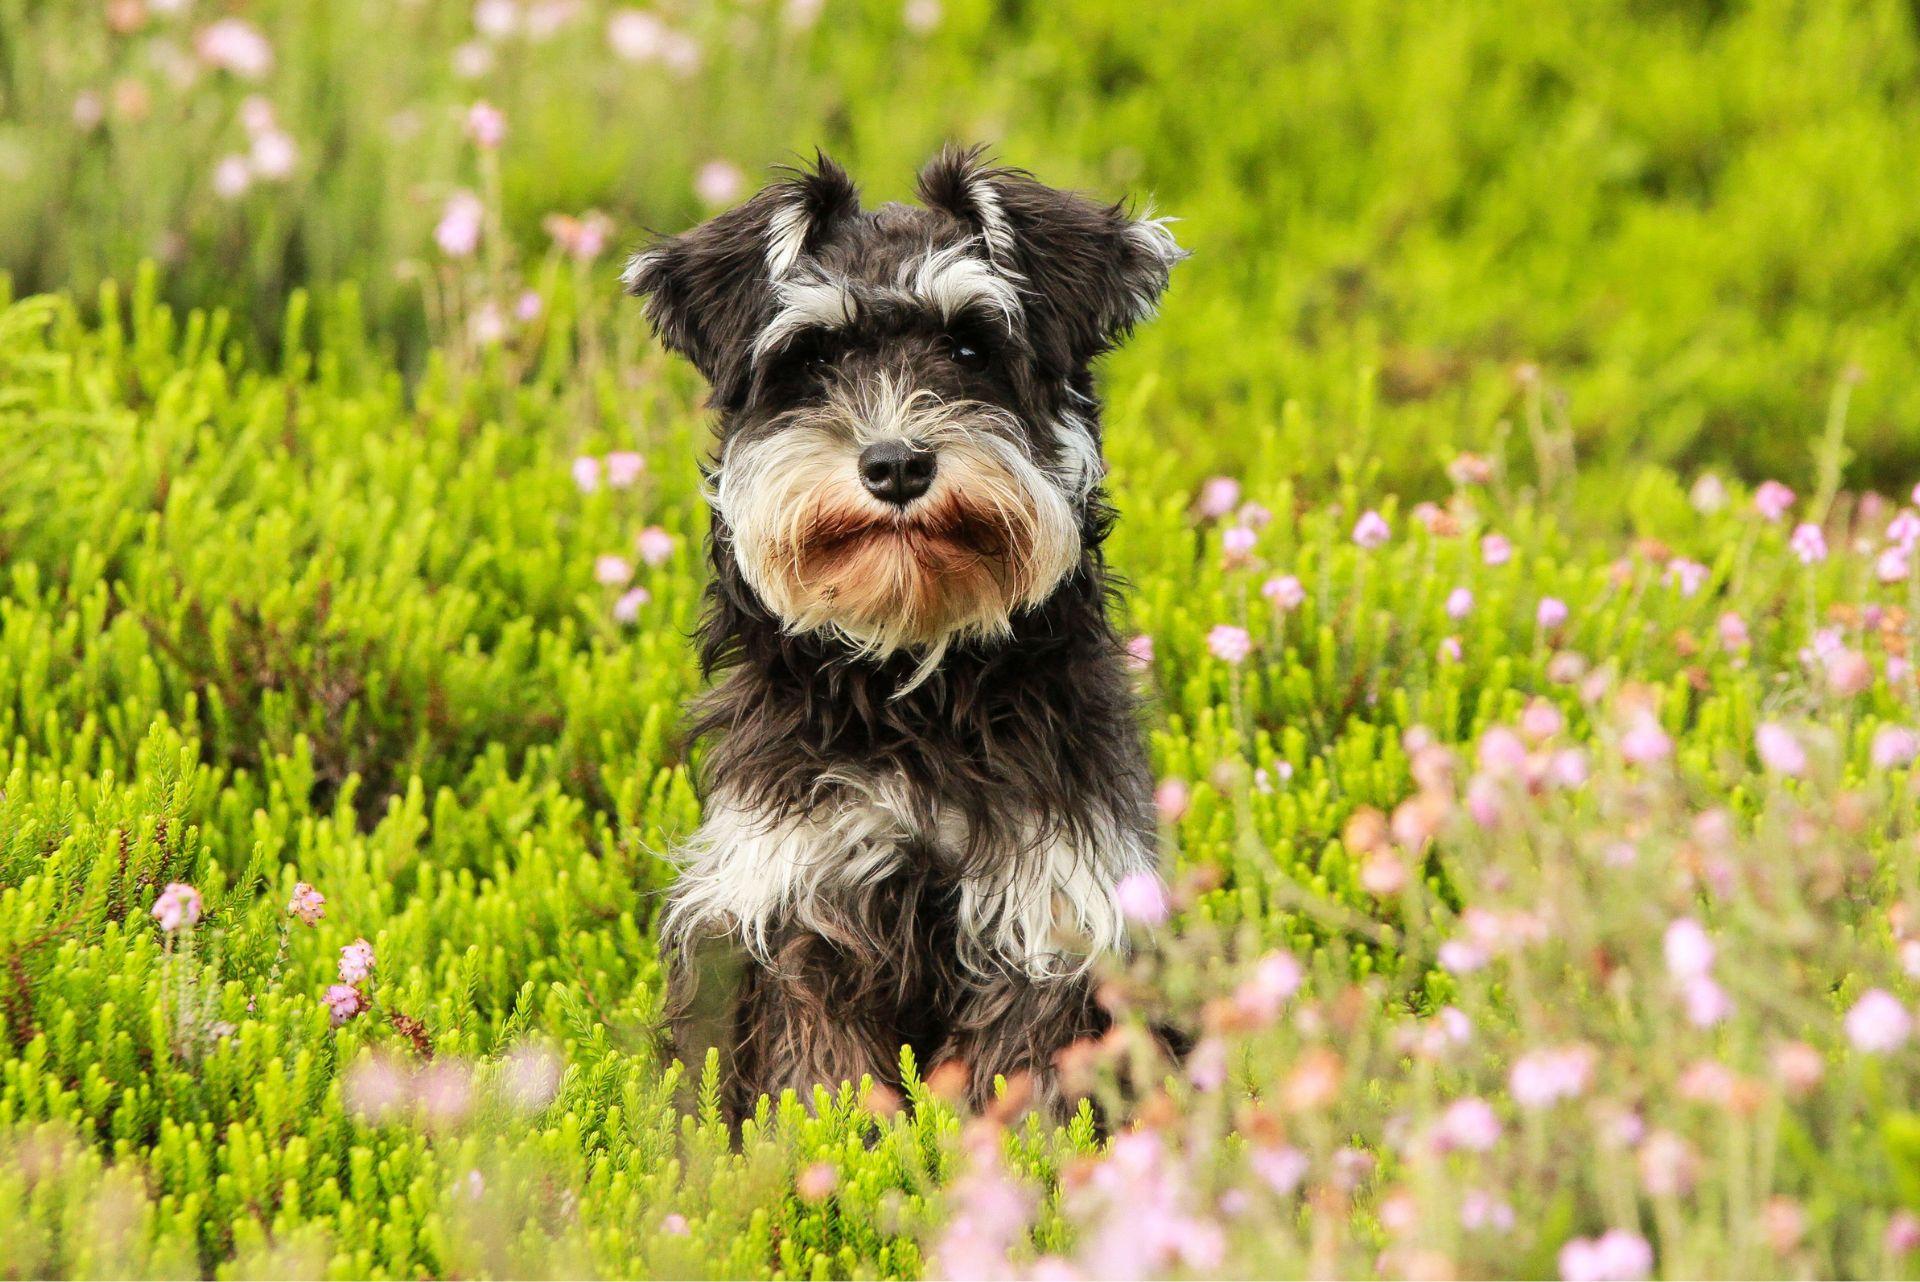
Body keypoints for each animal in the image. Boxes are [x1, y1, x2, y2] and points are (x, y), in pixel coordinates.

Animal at [629, 144, 1175, 1113]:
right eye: (811, 357)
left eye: (970, 345)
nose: (894, 464)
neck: (915, 680)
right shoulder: (799, 905)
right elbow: (823, 1083)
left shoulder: (1046, 912)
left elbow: (1014, 1082)